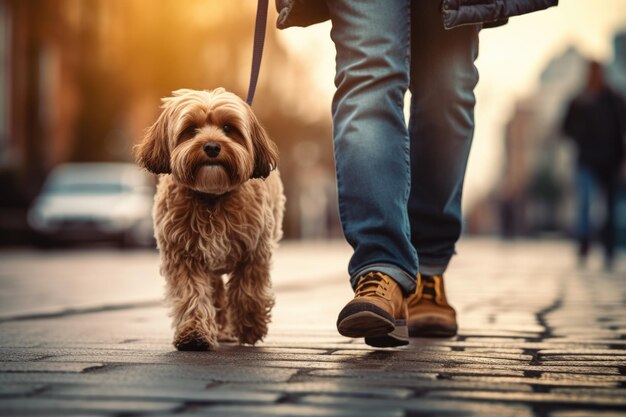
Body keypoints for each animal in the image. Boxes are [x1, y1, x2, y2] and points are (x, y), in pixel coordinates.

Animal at [136, 88, 286, 352]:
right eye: (190, 129)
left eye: (228, 128)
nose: (212, 147)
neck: (211, 197)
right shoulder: (183, 255)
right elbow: (191, 294)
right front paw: (194, 332)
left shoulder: (254, 250)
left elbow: (248, 290)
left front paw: (250, 327)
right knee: (215, 292)